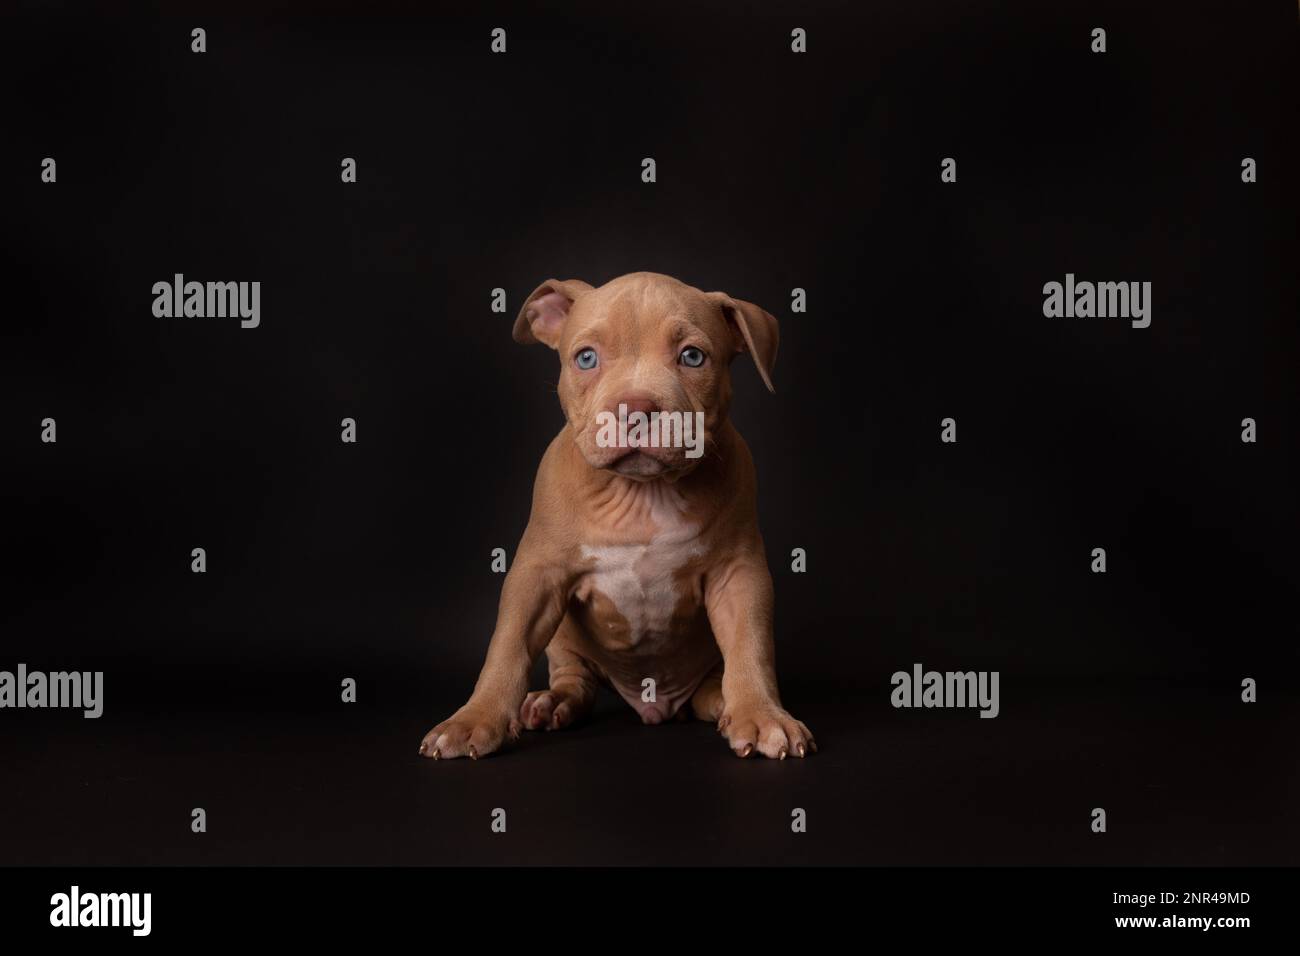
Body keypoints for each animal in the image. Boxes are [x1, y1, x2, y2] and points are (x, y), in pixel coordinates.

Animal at [421, 270, 811, 764]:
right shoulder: (536, 574)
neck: (642, 495)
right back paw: (552, 702)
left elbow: (751, 645)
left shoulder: (739, 575)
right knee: (575, 678)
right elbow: (507, 645)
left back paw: (724, 702)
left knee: (715, 679)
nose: (637, 409)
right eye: (586, 358)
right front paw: (475, 719)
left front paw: (761, 714)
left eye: (693, 357)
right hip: (565, 638)